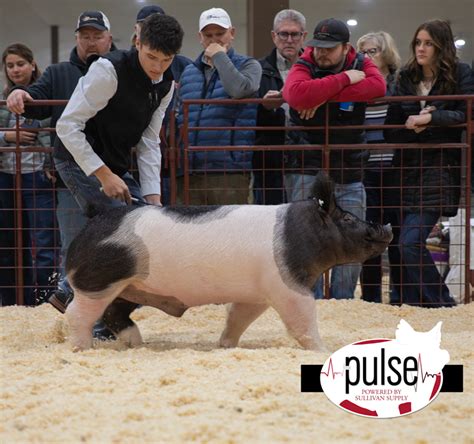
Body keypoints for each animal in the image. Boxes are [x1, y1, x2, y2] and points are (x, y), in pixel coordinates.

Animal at [65, 173, 394, 350]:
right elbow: (302, 319)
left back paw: (137, 344)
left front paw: (225, 345)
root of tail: (94, 219)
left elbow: (237, 316)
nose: (387, 227)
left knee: (113, 314)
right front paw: (322, 350)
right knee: (76, 313)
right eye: (348, 219)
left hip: (131, 288)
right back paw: (83, 348)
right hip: (99, 281)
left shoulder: (257, 294)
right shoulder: (287, 285)